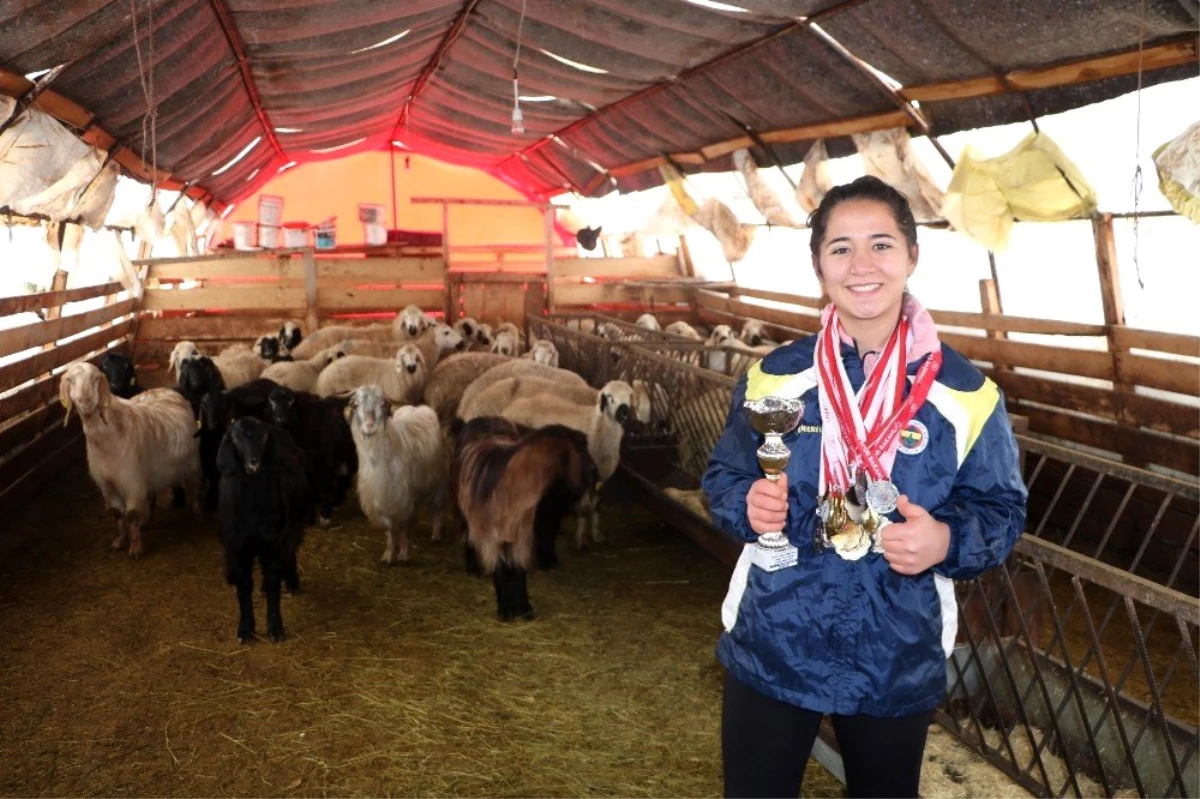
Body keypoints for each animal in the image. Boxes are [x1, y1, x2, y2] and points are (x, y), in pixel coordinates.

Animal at [59, 359, 200, 554]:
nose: (86, 401)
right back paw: (147, 521)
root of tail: (164, 390)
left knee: (193, 491)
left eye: (95, 378)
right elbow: (117, 513)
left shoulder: (132, 481)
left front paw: (135, 548)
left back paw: (195, 516)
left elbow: (131, 515)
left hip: (191, 463)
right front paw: (119, 541)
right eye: (70, 380)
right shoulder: (107, 485)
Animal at [217, 417, 307, 643]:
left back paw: (292, 582)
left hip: (293, 520)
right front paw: (245, 629)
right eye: (236, 437)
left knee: (289, 551)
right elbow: (243, 586)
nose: (254, 461)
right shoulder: (238, 548)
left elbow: (275, 584)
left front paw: (275, 628)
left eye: (265, 435)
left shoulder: (273, 542)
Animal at [272, 383, 360, 523]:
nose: (280, 419)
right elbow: (309, 489)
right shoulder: (305, 466)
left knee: (345, 477)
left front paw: (324, 515)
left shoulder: (323, 463)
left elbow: (325, 487)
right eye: (272, 401)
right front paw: (309, 516)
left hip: (350, 455)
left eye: (291, 401)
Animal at [348, 383, 451, 559]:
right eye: (356, 405)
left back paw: (436, 534)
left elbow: (402, 526)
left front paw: (403, 553)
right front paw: (389, 554)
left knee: (437, 508)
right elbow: (390, 529)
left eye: (382, 404)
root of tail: (417, 407)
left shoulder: (403, 496)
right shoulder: (382, 497)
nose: (370, 426)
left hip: (437, 478)